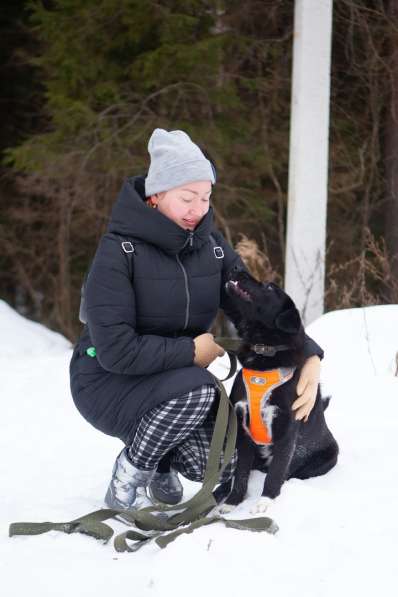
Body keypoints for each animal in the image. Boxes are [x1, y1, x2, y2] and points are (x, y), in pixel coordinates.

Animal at [216, 268, 338, 512]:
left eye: (270, 288)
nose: (237, 269)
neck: (263, 351)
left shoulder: (286, 431)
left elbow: (275, 473)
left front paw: (265, 502)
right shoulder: (242, 431)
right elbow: (240, 474)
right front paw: (232, 502)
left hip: (328, 455)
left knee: (288, 473)